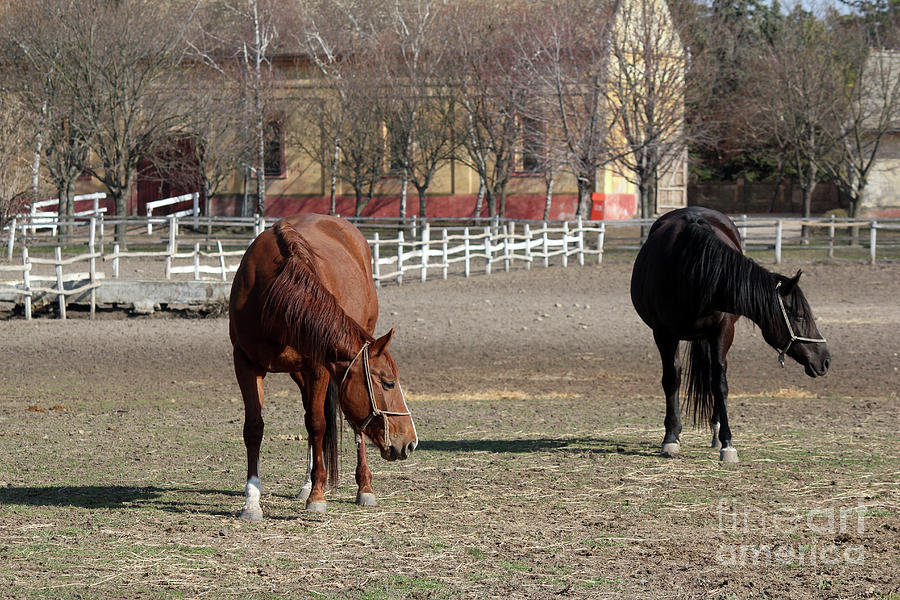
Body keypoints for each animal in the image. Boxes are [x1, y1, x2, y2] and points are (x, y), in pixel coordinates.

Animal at [229, 213, 418, 516]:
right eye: (388, 383)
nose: (410, 442)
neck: (273, 296)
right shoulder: (246, 364)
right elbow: (254, 428)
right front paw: (252, 500)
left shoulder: (318, 368)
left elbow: (318, 425)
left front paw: (317, 495)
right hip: (298, 373)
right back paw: (307, 484)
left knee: (346, 426)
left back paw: (364, 487)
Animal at [632, 207, 828, 464]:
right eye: (800, 316)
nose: (825, 359)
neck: (690, 269)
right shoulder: (664, 333)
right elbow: (672, 379)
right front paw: (671, 438)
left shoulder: (723, 330)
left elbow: (720, 383)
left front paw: (727, 443)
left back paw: (715, 431)